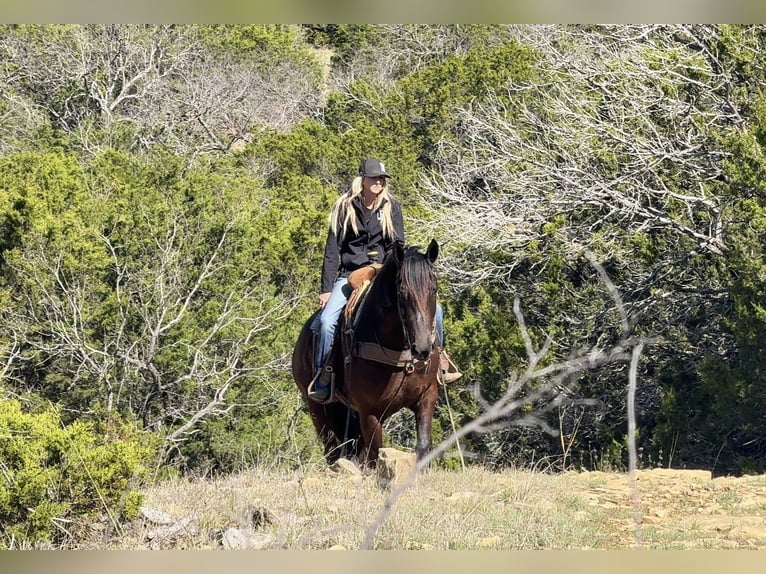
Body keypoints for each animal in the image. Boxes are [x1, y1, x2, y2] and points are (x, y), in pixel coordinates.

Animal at [291, 239, 442, 468]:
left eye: (433, 288)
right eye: (402, 291)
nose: (423, 348)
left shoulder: (426, 396)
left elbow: (423, 446)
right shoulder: (369, 411)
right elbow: (376, 454)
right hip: (317, 407)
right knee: (332, 448)